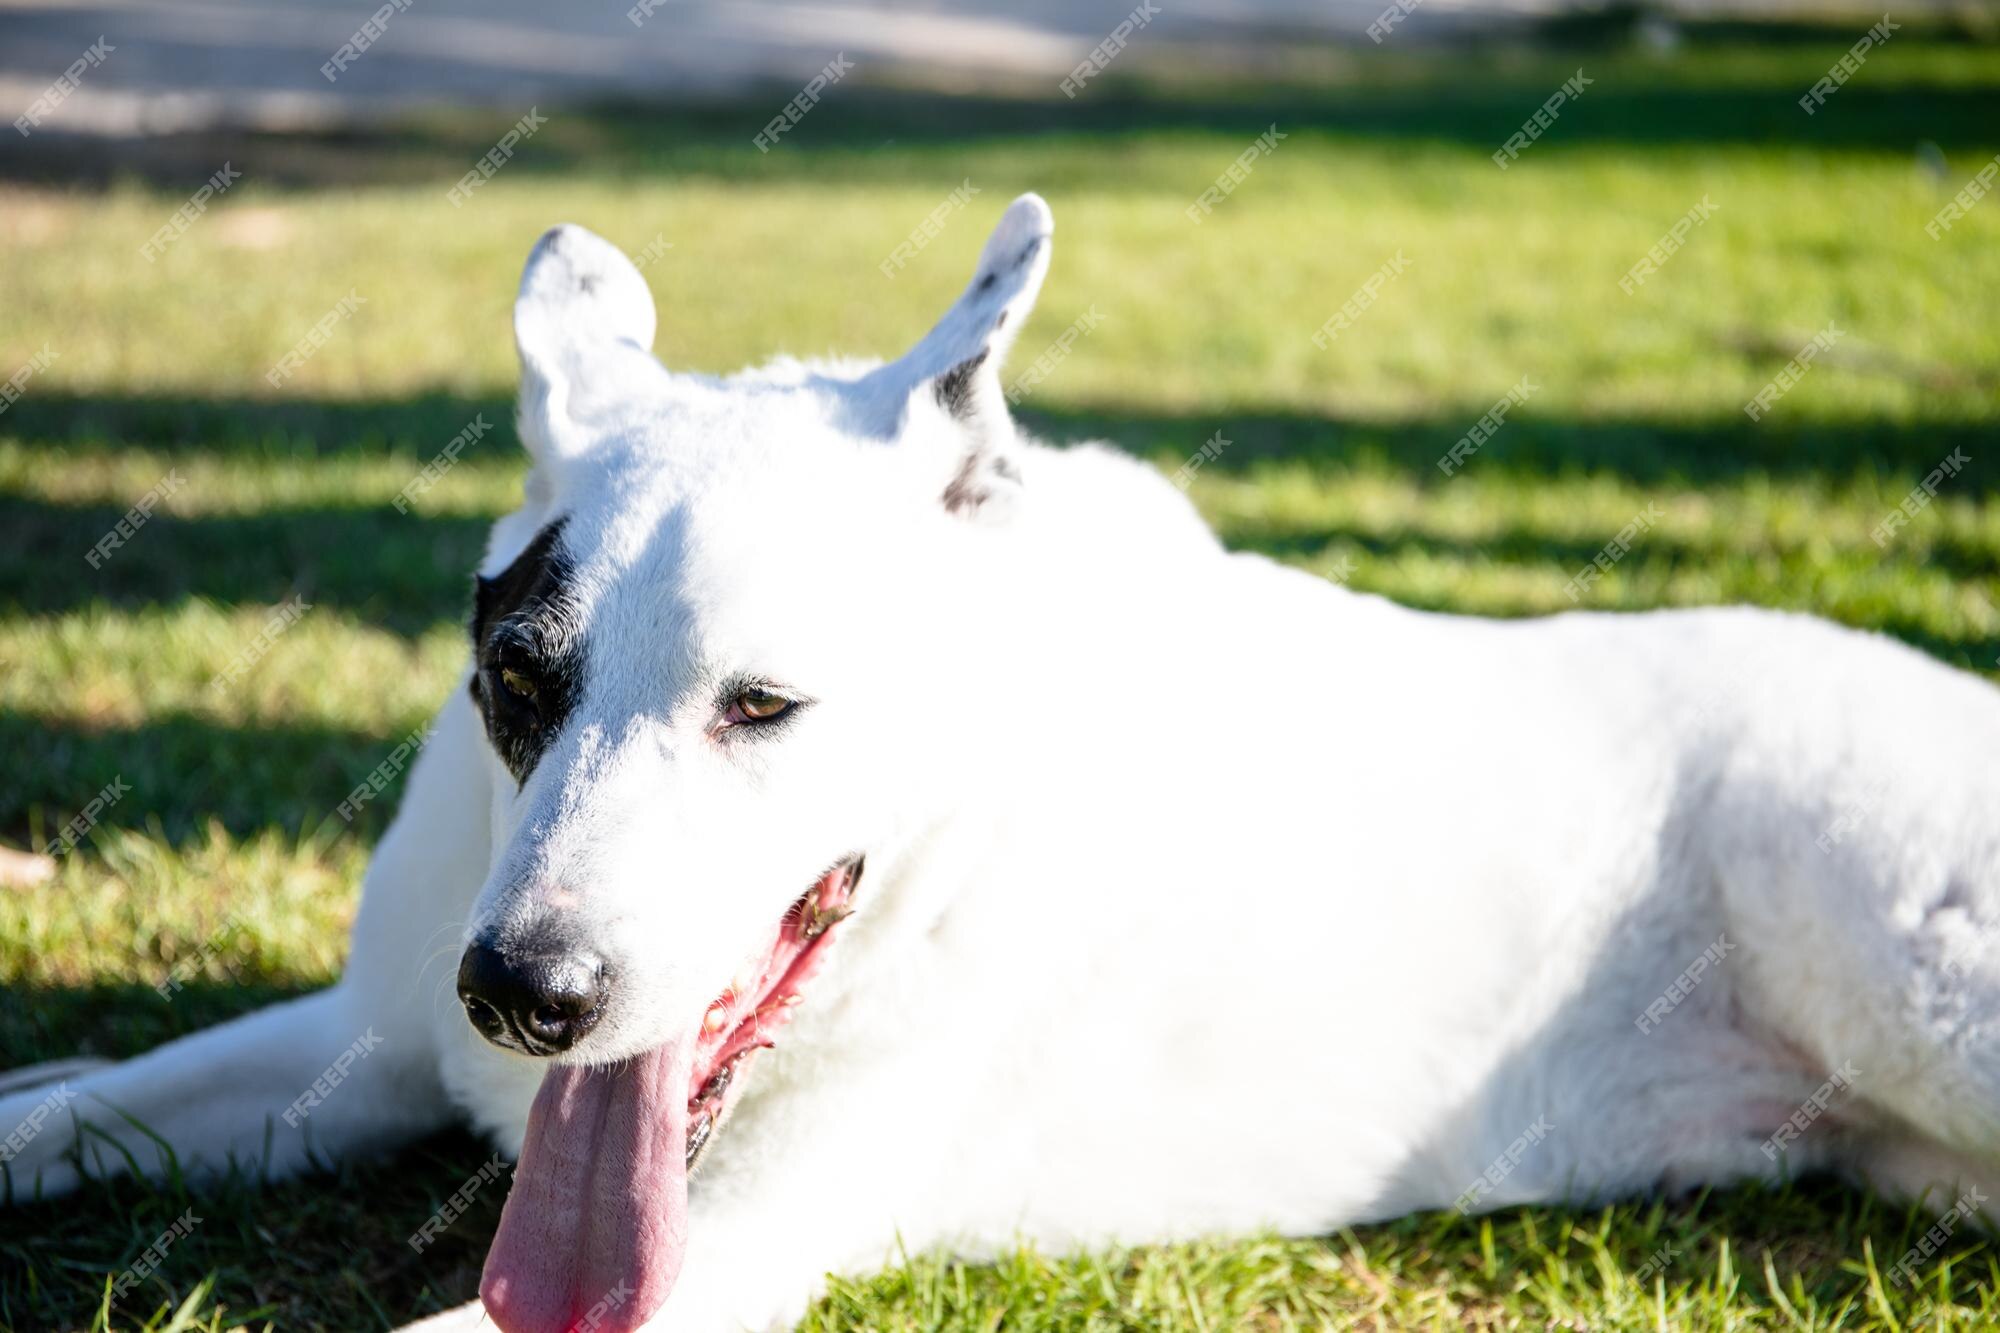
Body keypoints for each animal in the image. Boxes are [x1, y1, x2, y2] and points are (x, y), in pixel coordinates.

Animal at [3, 197, 2000, 1328]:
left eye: (762, 707)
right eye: (514, 676)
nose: (528, 995)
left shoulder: (728, 1245)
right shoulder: (369, 1040)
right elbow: (89, 1102)